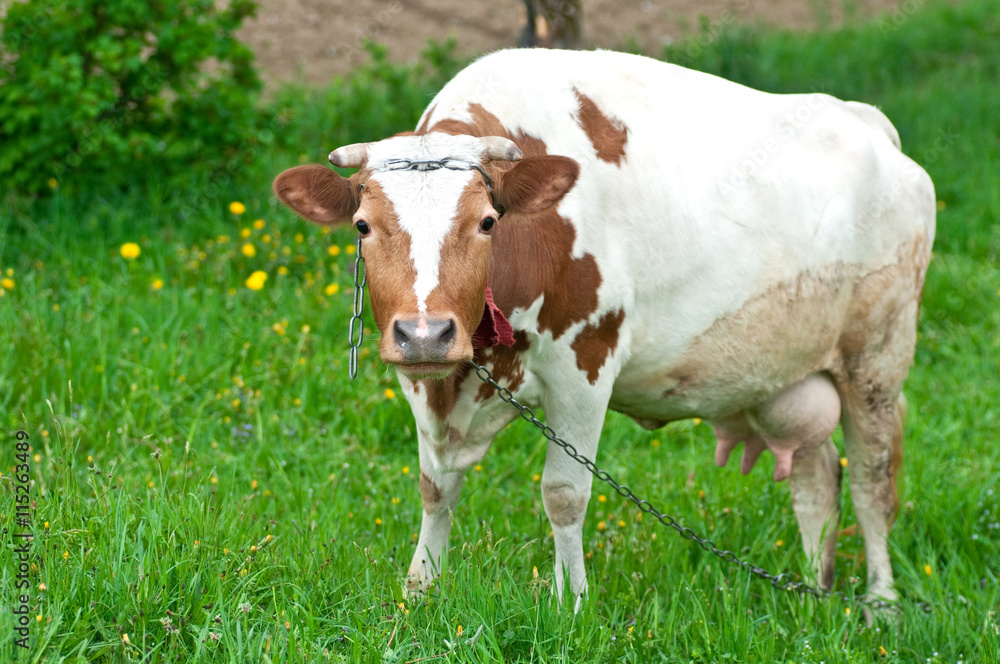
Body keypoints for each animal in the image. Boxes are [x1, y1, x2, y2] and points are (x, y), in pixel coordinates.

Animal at [274, 48, 936, 608]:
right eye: (362, 225)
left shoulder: (584, 365)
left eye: (488, 221)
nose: (425, 332)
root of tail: (866, 121)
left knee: (873, 481)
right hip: (787, 372)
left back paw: (880, 603)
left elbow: (564, 494)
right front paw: (420, 592)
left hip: (877, 358)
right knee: (815, 476)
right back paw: (811, 591)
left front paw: (571, 602)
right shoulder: (427, 378)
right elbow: (435, 486)